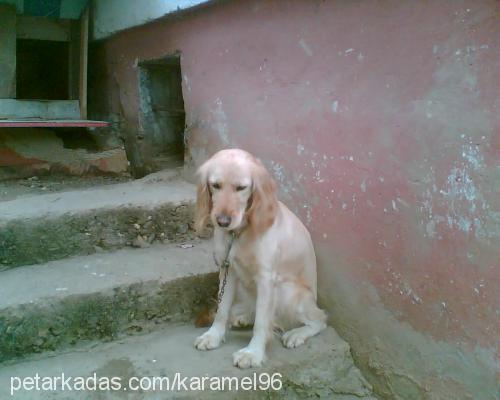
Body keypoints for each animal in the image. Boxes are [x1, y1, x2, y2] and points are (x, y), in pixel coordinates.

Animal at [193, 148, 326, 368]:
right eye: (216, 185)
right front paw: (213, 335)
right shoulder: (228, 269)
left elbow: (262, 323)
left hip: (287, 291)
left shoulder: (266, 278)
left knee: (320, 319)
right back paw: (245, 316)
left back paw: (297, 333)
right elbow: (222, 310)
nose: (222, 221)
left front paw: (253, 353)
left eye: (241, 188)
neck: (239, 233)